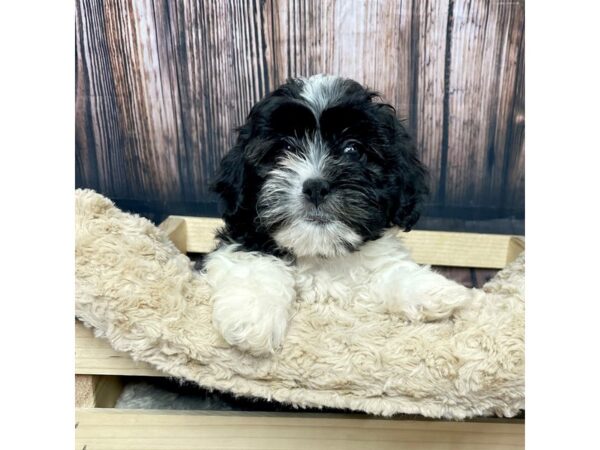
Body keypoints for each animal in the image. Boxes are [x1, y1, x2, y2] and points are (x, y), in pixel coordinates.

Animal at [204, 74, 476, 356]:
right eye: (285, 148)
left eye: (352, 150)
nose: (316, 187)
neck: (322, 253)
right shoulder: (243, 238)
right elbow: (253, 265)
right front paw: (250, 317)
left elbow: (389, 271)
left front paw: (432, 290)